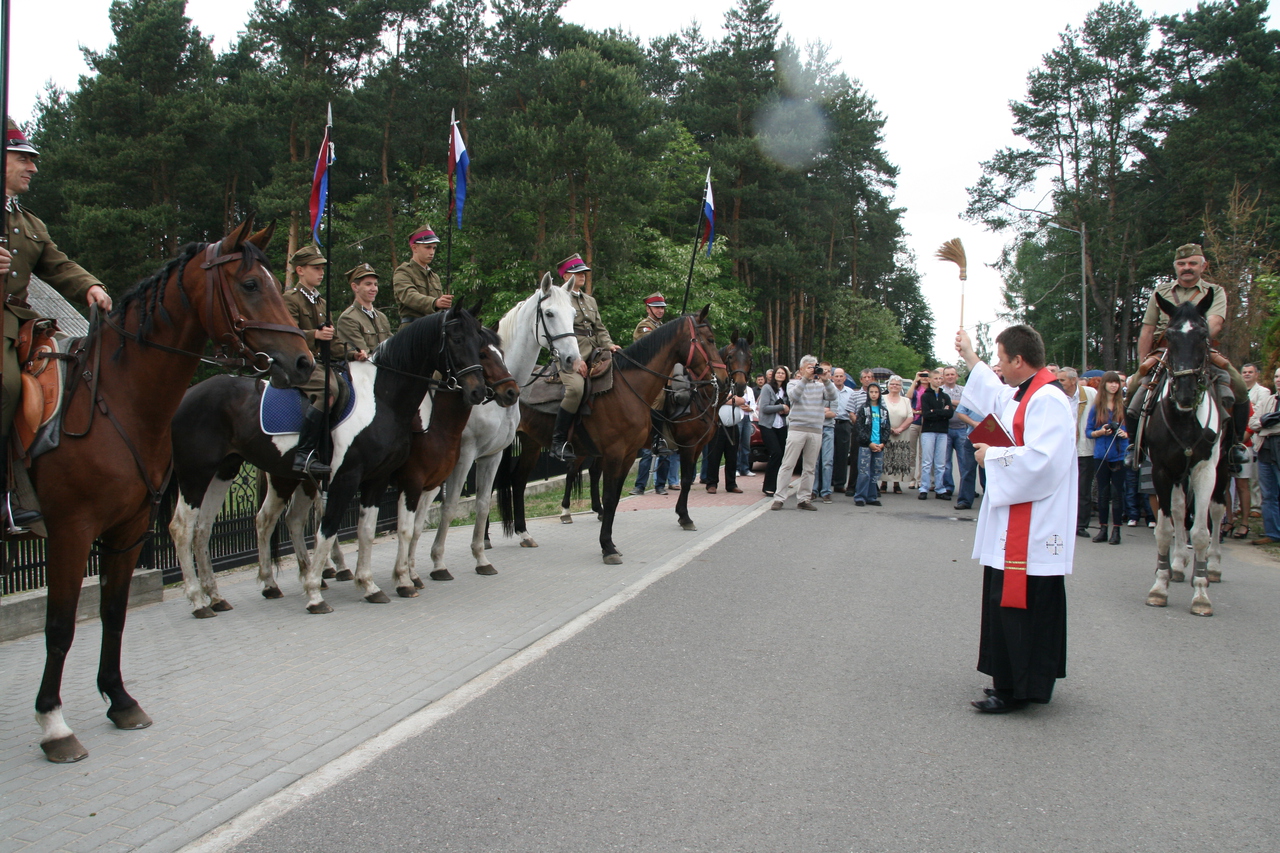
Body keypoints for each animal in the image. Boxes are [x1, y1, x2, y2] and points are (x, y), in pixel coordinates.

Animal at [28, 216, 313, 758]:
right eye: (250, 284)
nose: (303, 363)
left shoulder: (126, 525)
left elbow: (113, 611)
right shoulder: (72, 529)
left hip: (222, 472)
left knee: (205, 529)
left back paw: (217, 593)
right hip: (200, 475)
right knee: (188, 527)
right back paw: (203, 598)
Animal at [499, 308, 727, 560]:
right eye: (710, 339)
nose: (724, 378)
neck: (627, 389)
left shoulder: (628, 455)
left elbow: (615, 498)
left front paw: (609, 541)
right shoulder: (619, 453)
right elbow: (611, 496)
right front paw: (607, 547)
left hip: (531, 444)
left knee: (518, 481)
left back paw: (523, 533)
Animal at [1141, 289, 1228, 614]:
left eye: (1204, 335)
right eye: (1170, 336)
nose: (1186, 392)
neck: (1184, 417)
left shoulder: (1204, 469)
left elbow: (1201, 531)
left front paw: (1201, 593)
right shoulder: (1161, 469)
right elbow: (1166, 528)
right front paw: (1160, 585)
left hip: (1222, 469)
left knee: (1216, 511)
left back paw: (1212, 568)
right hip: (1178, 472)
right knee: (1179, 511)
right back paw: (1177, 565)